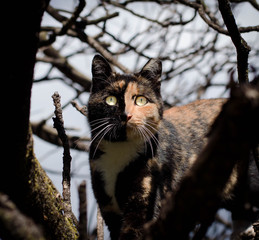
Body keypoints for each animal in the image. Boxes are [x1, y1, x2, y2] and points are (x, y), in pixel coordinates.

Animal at [88, 54, 259, 240]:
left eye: (141, 100)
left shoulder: (146, 199)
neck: (120, 152)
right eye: (110, 100)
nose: (126, 115)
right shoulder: (108, 207)